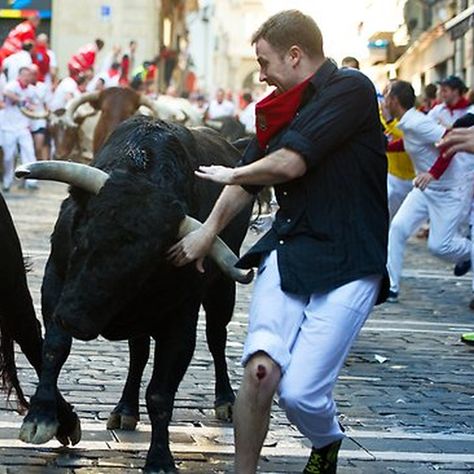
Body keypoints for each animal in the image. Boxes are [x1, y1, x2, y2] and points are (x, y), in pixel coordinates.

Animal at [8, 115, 252, 474]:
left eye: (142, 267)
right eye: (82, 240)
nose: (74, 320)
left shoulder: (180, 319)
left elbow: (161, 393)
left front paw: (160, 459)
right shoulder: (55, 283)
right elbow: (54, 348)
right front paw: (40, 418)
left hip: (222, 290)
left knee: (216, 337)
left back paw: (227, 401)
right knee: (138, 354)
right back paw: (124, 409)